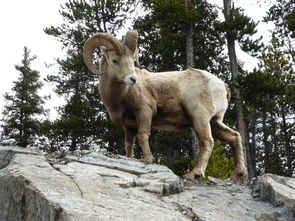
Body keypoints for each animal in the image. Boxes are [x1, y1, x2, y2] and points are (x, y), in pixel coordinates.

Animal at [82, 29, 247, 181]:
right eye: (115, 61)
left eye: (132, 61)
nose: (133, 79)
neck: (120, 96)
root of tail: (221, 85)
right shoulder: (129, 126)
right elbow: (129, 144)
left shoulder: (144, 112)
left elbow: (143, 135)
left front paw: (148, 159)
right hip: (215, 122)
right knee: (234, 137)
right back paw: (236, 175)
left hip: (199, 118)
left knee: (207, 142)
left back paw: (194, 174)